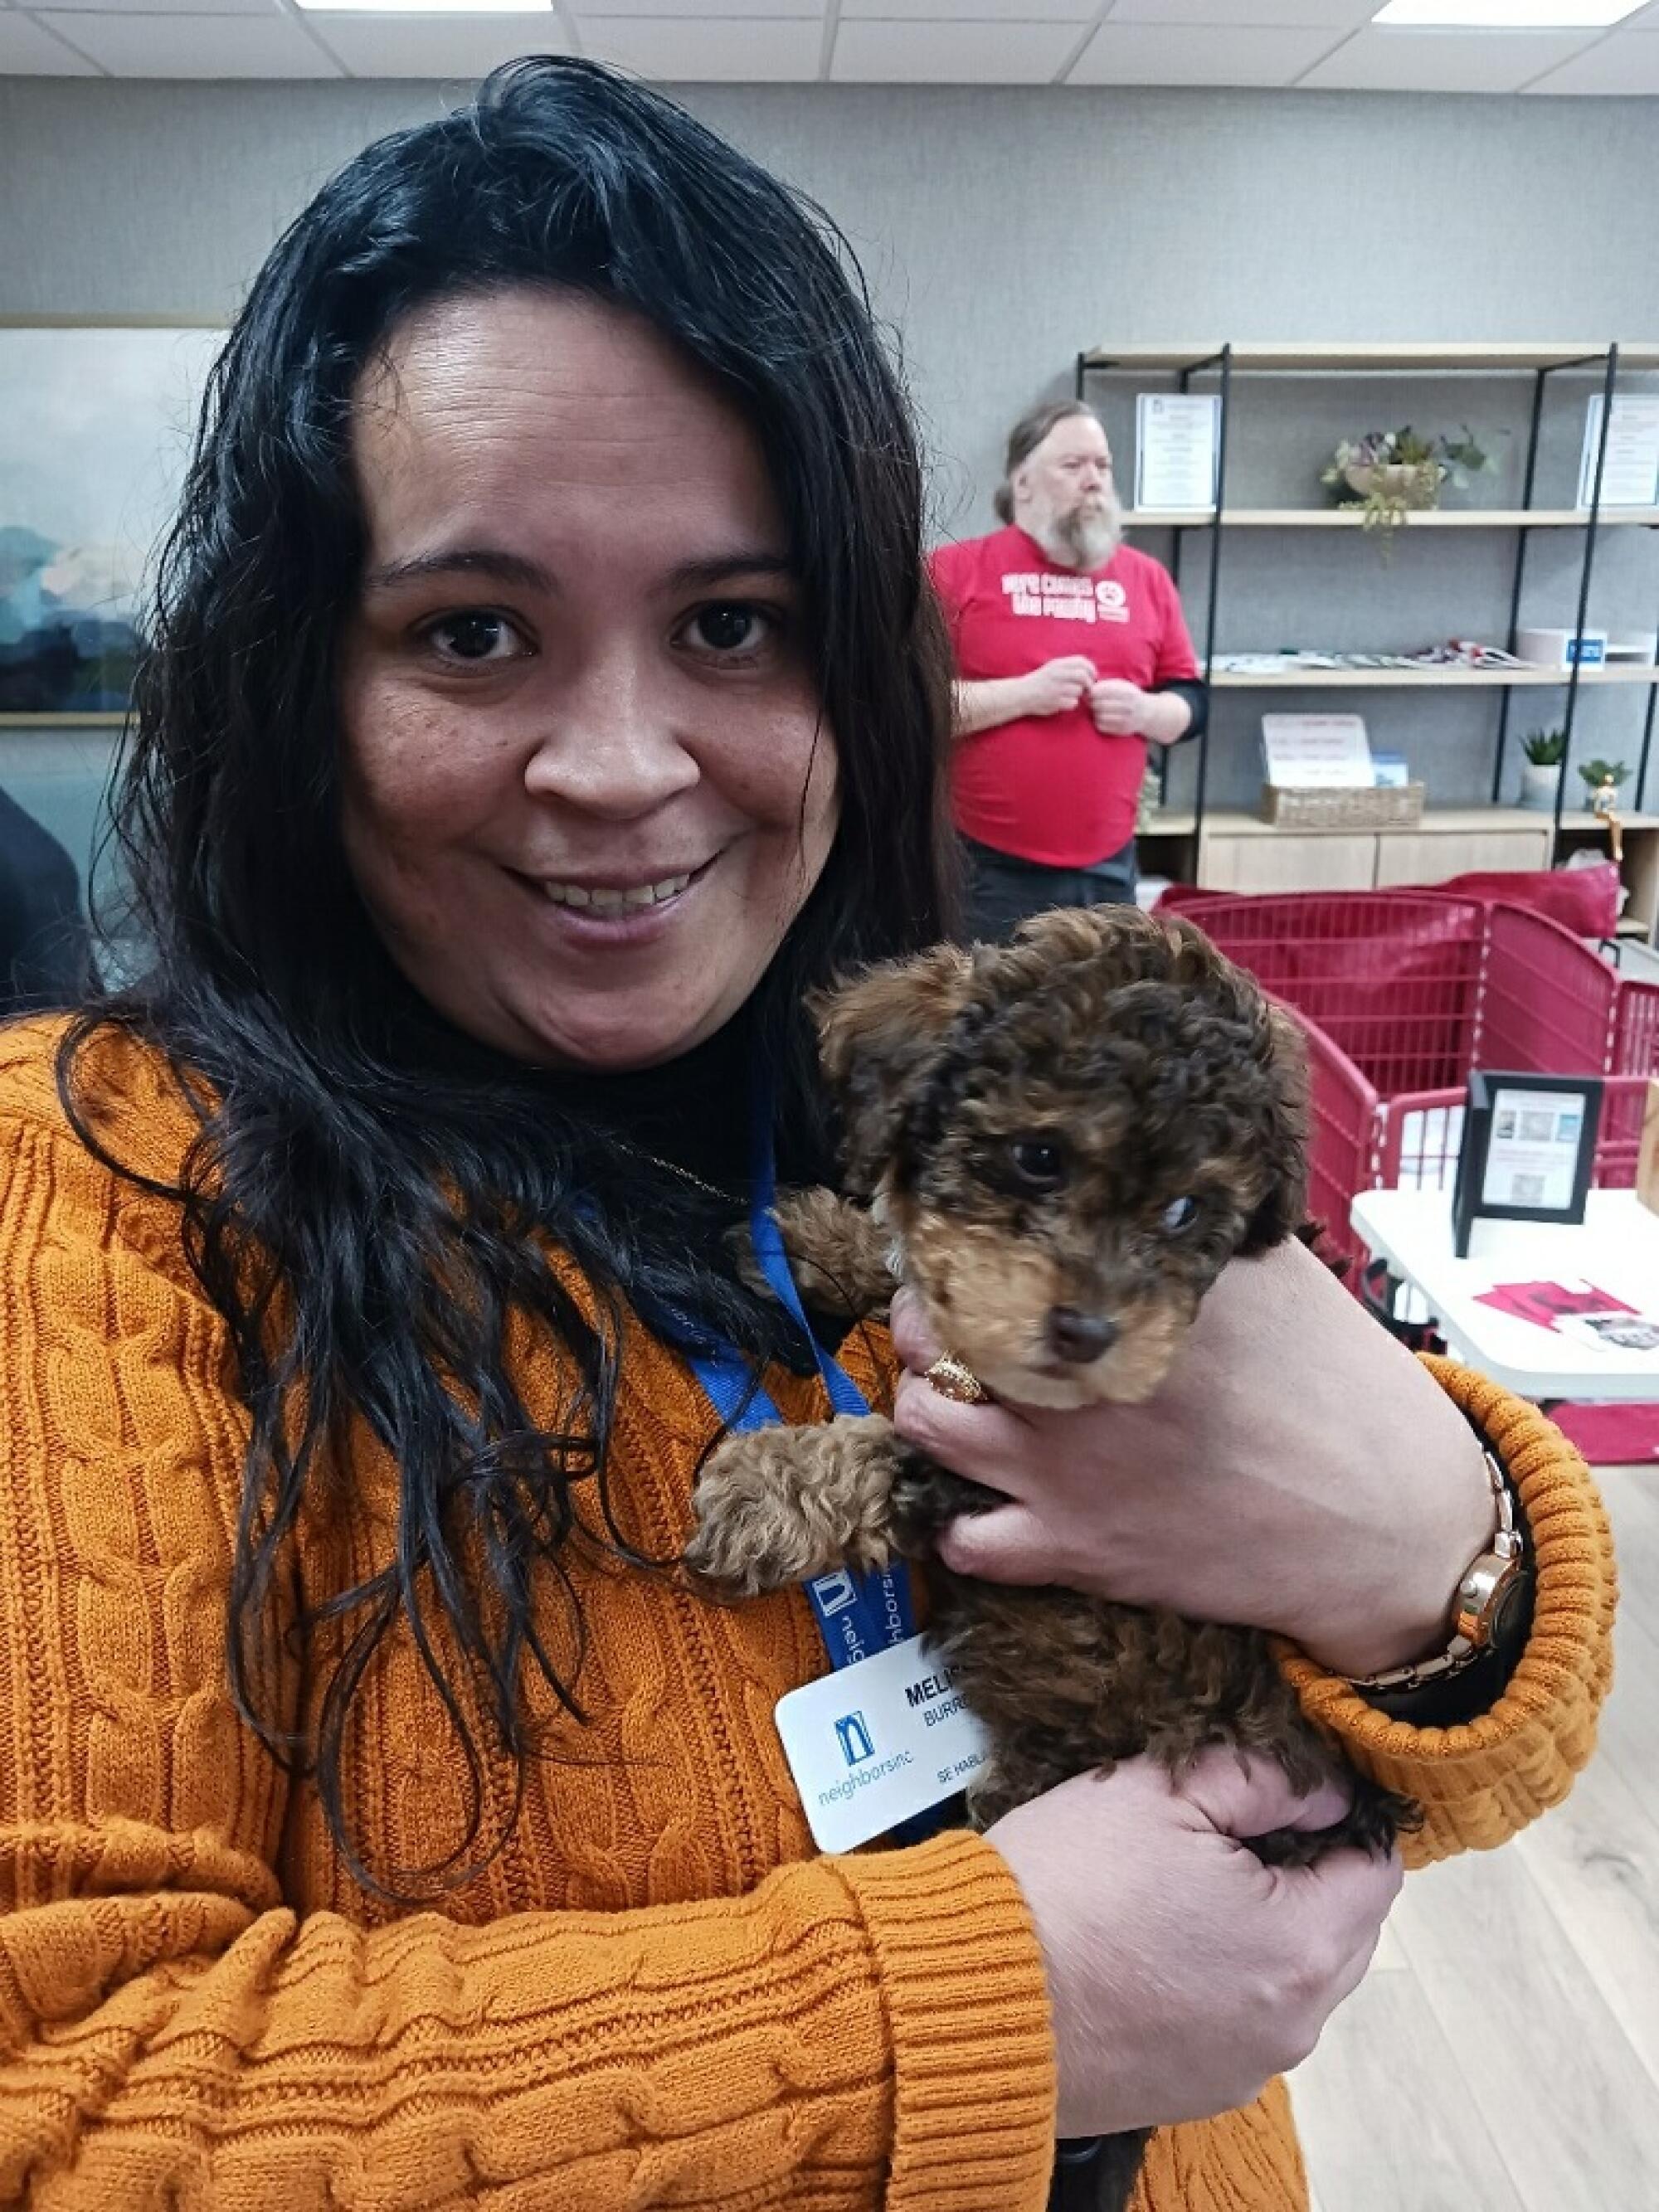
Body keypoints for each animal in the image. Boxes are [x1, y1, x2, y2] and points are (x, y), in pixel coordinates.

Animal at [685, 902, 1415, 2212]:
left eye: (1184, 1213)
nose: (1083, 1332)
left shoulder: (1007, 1478)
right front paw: (823, 1231)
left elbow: (893, 1444)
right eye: (1036, 1158)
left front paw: (767, 1482)